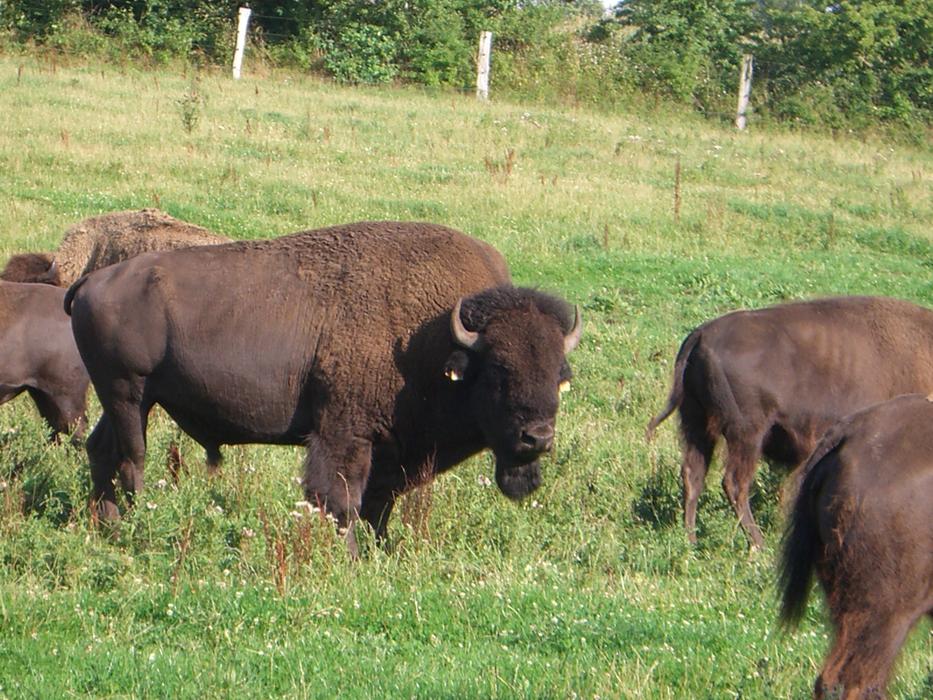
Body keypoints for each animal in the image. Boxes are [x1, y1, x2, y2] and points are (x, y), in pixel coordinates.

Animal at [66, 221, 581, 554]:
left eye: (560, 373)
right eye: (498, 370)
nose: (537, 438)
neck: (434, 336)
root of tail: (92, 279)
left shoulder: (390, 448)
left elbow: (378, 503)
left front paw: (380, 550)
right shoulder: (343, 433)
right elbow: (342, 499)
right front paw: (350, 556)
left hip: (126, 399)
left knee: (101, 450)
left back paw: (105, 523)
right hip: (129, 393)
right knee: (131, 459)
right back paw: (134, 523)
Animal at [647, 296, 933, 547]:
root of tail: (700, 336)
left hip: (696, 423)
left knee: (693, 475)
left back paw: (691, 541)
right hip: (747, 432)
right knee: (734, 482)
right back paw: (758, 544)